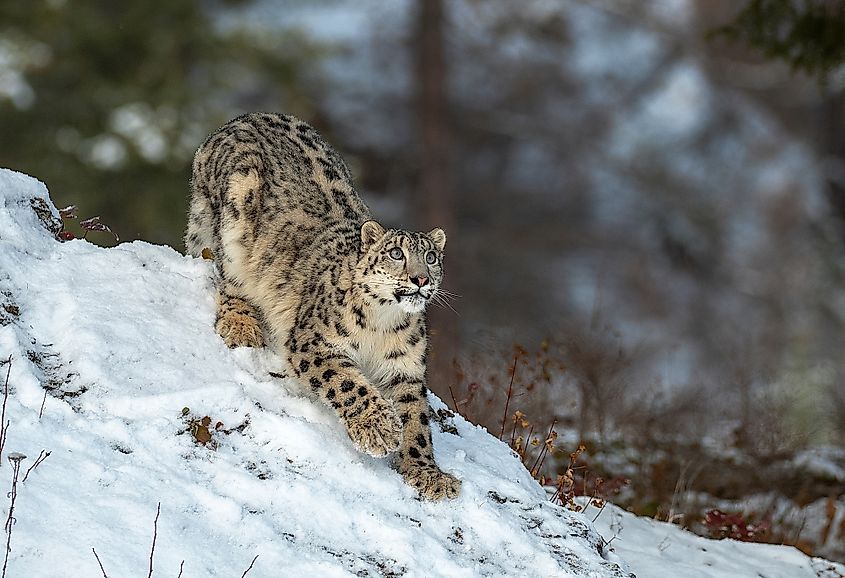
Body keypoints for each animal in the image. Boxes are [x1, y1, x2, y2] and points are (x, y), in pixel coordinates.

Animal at [185, 112, 462, 500]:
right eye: (396, 253)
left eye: (432, 257)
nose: (421, 279)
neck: (383, 323)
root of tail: (240, 118)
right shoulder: (313, 341)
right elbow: (347, 382)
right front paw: (379, 429)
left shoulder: (404, 367)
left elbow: (417, 419)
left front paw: (427, 473)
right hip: (236, 211)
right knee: (226, 275)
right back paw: (241, 325)